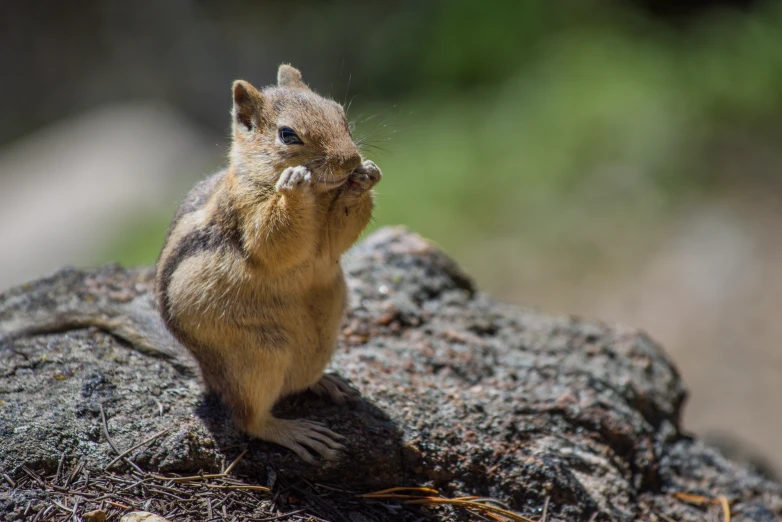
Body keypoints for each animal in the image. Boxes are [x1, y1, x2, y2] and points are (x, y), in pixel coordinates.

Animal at [2, 65, 382, 460]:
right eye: (288, 134)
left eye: (340, 114)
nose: (351, 161)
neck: (320, 197)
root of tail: (207, 375)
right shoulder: (245, 211)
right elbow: (272, 240)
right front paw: (293, 186)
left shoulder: (328, 236)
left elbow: (336, 238)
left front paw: (365, 177)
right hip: (256, 360)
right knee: (248, 419)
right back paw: (294, 431)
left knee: (296, 384)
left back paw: (328, 382)